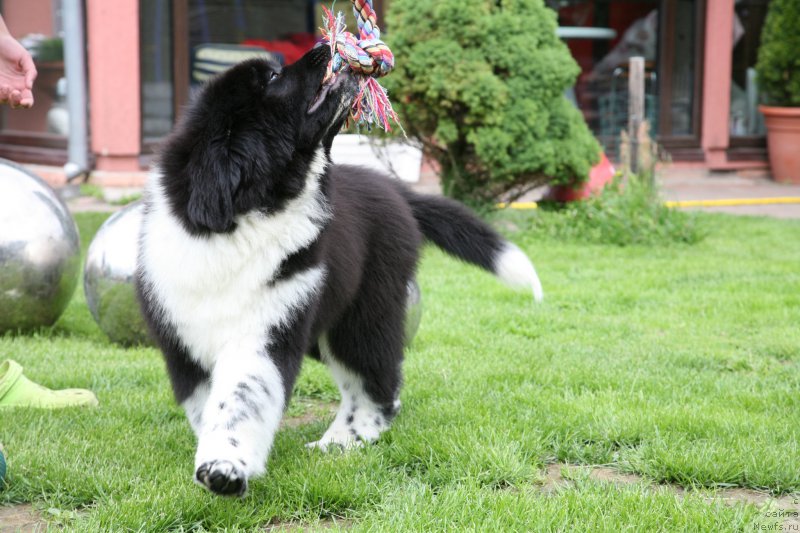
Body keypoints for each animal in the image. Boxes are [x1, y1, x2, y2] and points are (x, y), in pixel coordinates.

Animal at [136, 44, 544, 494]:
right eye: (273, 78)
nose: (324, 48)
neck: (256, 206)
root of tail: (393, 189)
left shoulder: (267, 327)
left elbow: (240, 397)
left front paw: (225, 467)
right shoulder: (181, 339)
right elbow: (207, 405)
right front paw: (218, 460)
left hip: (362, 314)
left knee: (374, 382)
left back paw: (346, 439)